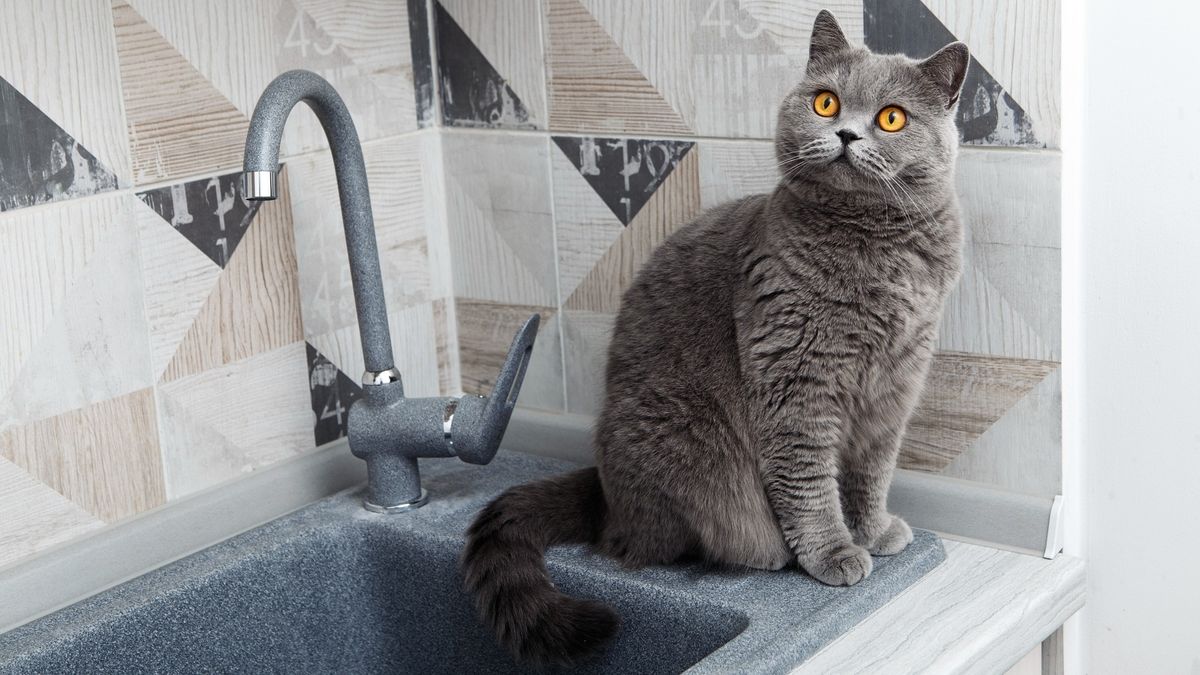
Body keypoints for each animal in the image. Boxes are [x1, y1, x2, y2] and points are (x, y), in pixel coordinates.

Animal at [463, 10, 969, 662]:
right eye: (826, 102)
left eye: (891, 118)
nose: (847, 134)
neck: (880, 251)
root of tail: (604, 493)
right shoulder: (796, 378)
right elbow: (808, 477)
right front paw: (834, 551)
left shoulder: (897, 381)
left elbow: (871, 469)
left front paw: (875, 529)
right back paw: (765, 553)